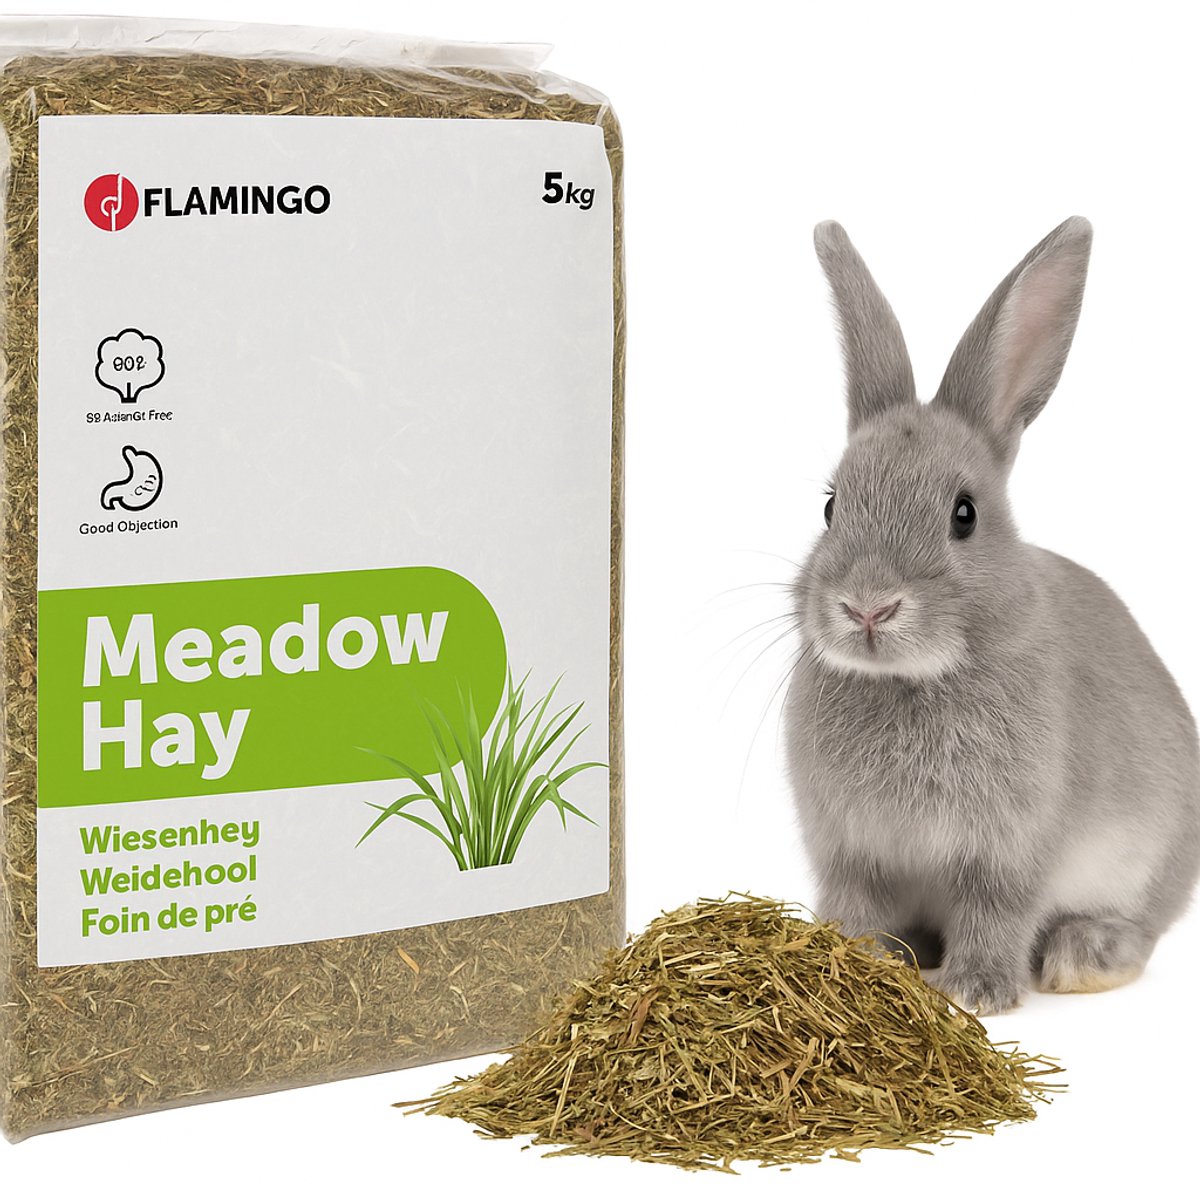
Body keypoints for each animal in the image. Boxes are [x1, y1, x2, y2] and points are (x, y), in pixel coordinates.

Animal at [783, 217, 1200, 1015]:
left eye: (964, 515)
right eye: (830, 507)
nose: (868, 606)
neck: (915, 680)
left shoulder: (1008, 849)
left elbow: (996, 909)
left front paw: (976, 993)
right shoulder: (852, 850)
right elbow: (857, 907)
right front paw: (853, 964)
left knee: (1136, 930)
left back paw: (1082, 959)